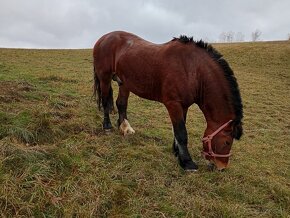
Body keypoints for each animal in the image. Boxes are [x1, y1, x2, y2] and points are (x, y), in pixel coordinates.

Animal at [93, 30, 242, 171]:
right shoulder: (173, 104)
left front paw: (177, 153)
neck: (192, 69)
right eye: (227, 142)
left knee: (121, 104)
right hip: (105, 78)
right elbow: (181, 132)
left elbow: (178, 130)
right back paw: (107, 126)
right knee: (105, 102)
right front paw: (187, 162)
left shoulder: (184, 106)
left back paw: (125, 128)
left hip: (124, 83)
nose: (222, 167)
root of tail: (103, 38)